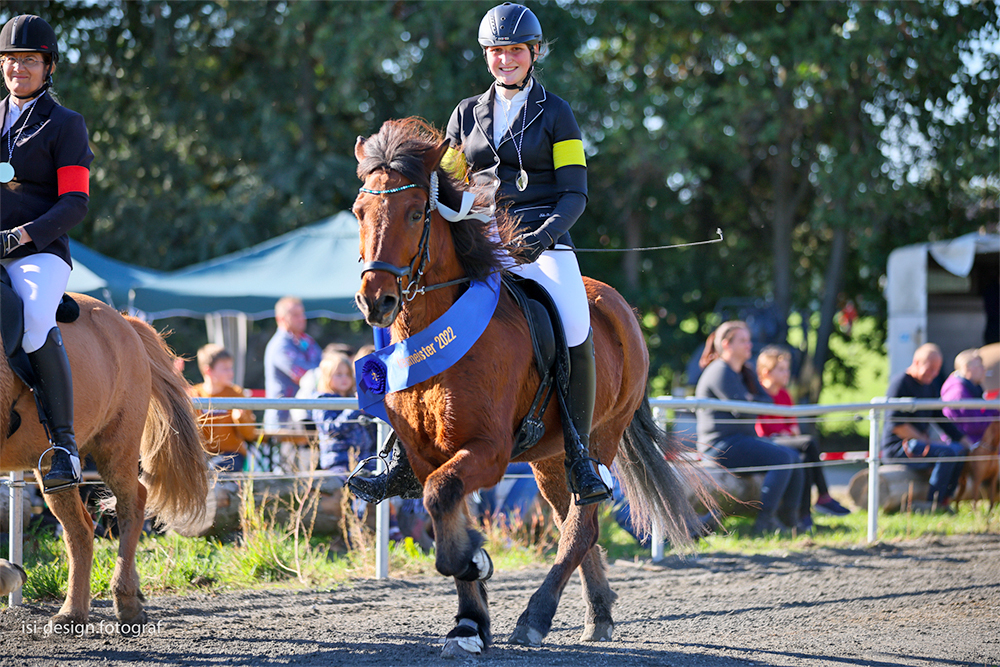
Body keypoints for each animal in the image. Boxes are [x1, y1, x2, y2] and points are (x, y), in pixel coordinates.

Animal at [1, 294, 209, 628]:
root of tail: (125, 320)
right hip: (51, 468)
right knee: (80, 530)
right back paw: (73, 612)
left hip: (117, 447)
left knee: (133, 503)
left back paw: (126, 600)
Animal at [356, 118, 700, 656]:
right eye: (359, 212)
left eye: (414, 213)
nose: (377, 300)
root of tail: (620, 307)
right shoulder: (426, 454)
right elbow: (443, 505)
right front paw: (469, 623)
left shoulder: (489, 449)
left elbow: (442, 501)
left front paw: (475, 564)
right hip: (548, 457)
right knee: (572, 522)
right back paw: (598, 614)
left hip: (598, 436)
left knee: (582, 523)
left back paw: (537, 616)